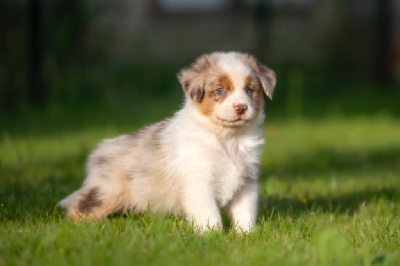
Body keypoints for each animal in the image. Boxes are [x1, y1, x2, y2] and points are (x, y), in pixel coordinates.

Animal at [57, 51, 276, 231]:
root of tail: (98, 151)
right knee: (78, 205)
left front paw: (245, 235)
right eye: (220, 90)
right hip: (105, 193)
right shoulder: (198, 183)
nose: (241, 108)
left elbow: (244, 212)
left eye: (249, 90)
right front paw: (212, 237)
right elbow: (209, 214)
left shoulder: (246, 182)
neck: (227, 138)